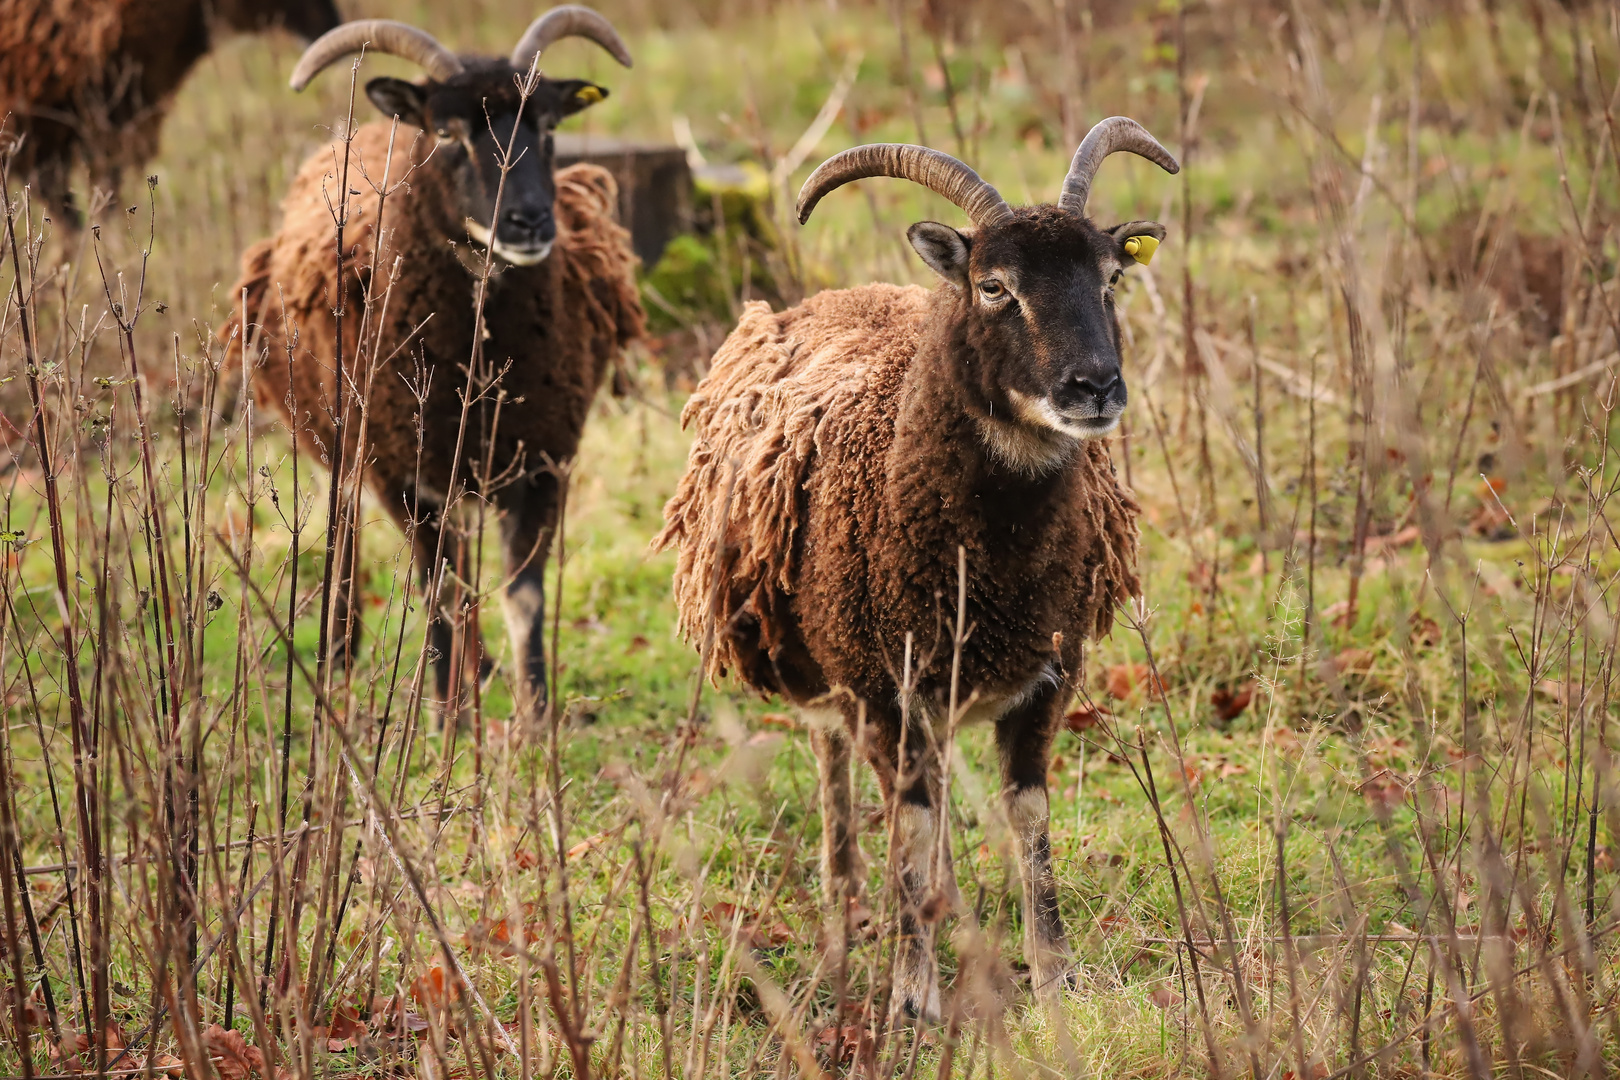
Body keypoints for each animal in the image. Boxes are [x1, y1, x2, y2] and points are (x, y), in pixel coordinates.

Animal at [228, 10, 644, 718]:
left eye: (550, 125)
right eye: (447, 132)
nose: (529, 221)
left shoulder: (540, 462)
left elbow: (523, 595)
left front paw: (534, 713)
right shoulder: (404, 472)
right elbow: (441, 592)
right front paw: (447, 708)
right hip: (347, 440)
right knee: (345, 529)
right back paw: (338, 652)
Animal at [654, 120, 1179, 1023]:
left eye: (1112, 277)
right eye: (994, 287)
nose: (1094, 387)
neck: (992, 561)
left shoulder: (1046, 677)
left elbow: (1027, 820)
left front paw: (1055, 979)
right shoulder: (882, 687)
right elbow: (911, 830)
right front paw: (912, 996)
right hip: (828, 669)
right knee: (842, 780)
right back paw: (847, 914)